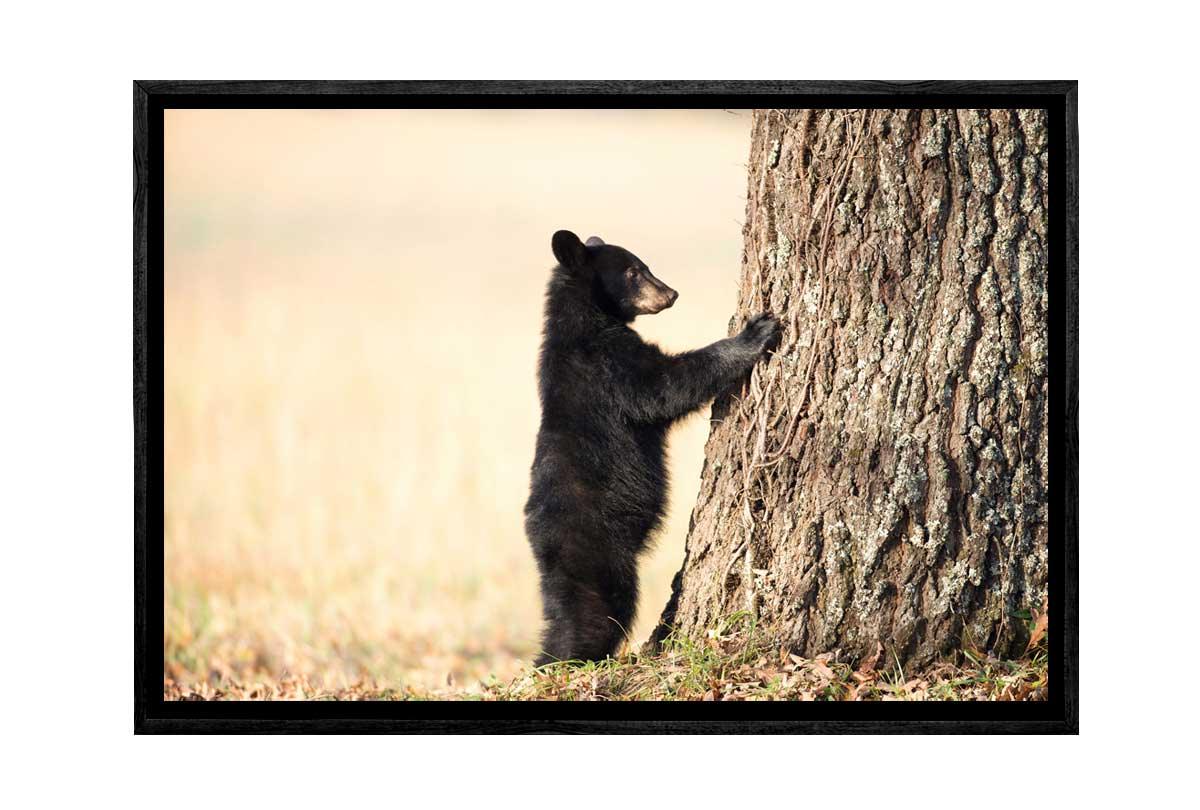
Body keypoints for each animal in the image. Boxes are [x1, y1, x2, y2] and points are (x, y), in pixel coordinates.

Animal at [523, 229, 781, 665]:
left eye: (644, 265)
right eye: (633, 272)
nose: (671, 293)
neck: (585, 322)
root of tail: (541, 543)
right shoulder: (608, 366)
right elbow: (664, 387)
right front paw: (754, 333)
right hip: (597, 548)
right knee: (597, 611)